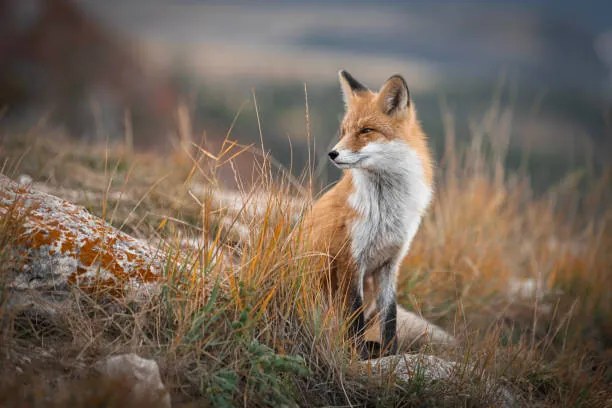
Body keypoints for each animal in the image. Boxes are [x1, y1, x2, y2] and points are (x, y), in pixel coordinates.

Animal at [304, 71, 438, 356]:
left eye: (366, 130)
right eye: (344, 131)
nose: (332, 153)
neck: (385, 211)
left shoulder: (390, 264)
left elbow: (390, 318)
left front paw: (389, 355)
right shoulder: (351, 260)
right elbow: (354, 318)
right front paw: (358, 356)